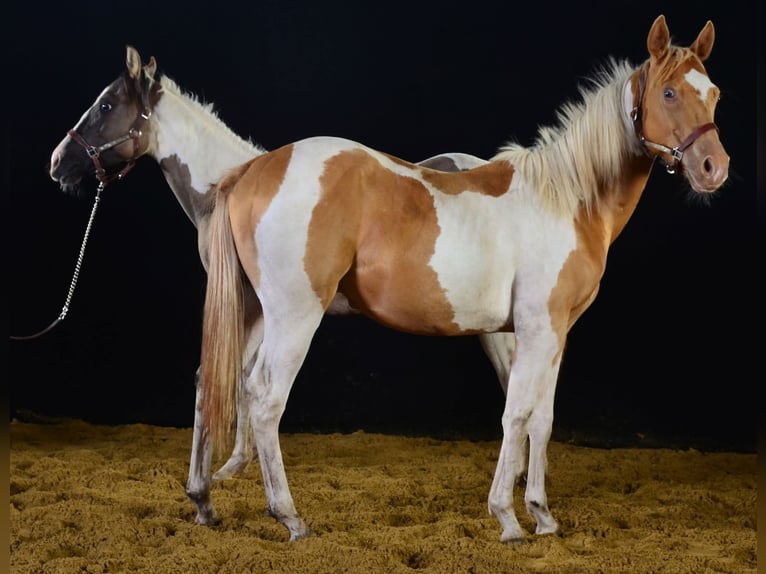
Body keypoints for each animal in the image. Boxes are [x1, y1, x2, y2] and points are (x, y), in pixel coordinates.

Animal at [46, 46, 509, 526]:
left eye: (105, 105)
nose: (57, 161)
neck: (226, 183)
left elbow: (239, 382)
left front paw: (230, 472)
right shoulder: (248, 306)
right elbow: (226, 378)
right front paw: (224, 475)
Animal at [199, 14, 728, 543]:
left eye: (714, 93)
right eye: (669, 93)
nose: (714, 168)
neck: (566, 199)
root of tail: (255, 168)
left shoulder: (556, 334)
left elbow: (543, 420)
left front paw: (542, 515)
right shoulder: (537, 330)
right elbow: (517, 414)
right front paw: (508, 517)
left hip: (254, 313)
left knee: (217, 384)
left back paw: (205, 502)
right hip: (295, 317)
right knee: (266, 400)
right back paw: (289, 517)